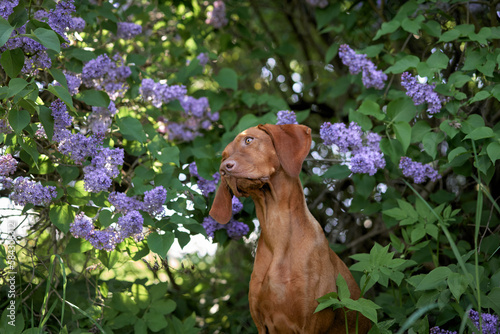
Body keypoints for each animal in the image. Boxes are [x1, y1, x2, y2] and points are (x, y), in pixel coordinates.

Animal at [209, 124, 370, 332]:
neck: (277, 228)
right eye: (223, 157)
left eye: (249, 140)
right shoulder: (261, 325)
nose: (224, 169)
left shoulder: (310, 324)